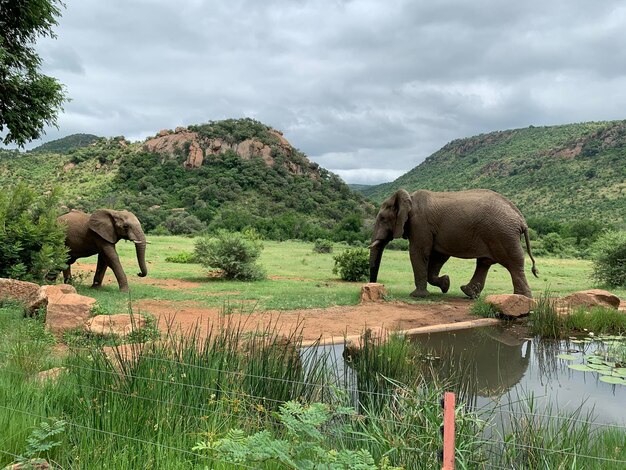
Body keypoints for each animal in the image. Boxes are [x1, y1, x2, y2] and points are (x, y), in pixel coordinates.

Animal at [366, 187, 536, 298]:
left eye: (382, 218)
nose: (373, 286)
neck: (409, 198)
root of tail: (521, 219)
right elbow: (438, 257)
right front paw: (446, 284)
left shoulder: (420, 224)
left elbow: (419, 252)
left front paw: (417, 296)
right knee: (485, 262)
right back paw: (468, 293)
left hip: (502, 234)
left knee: (513, 263)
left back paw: (522, 298)